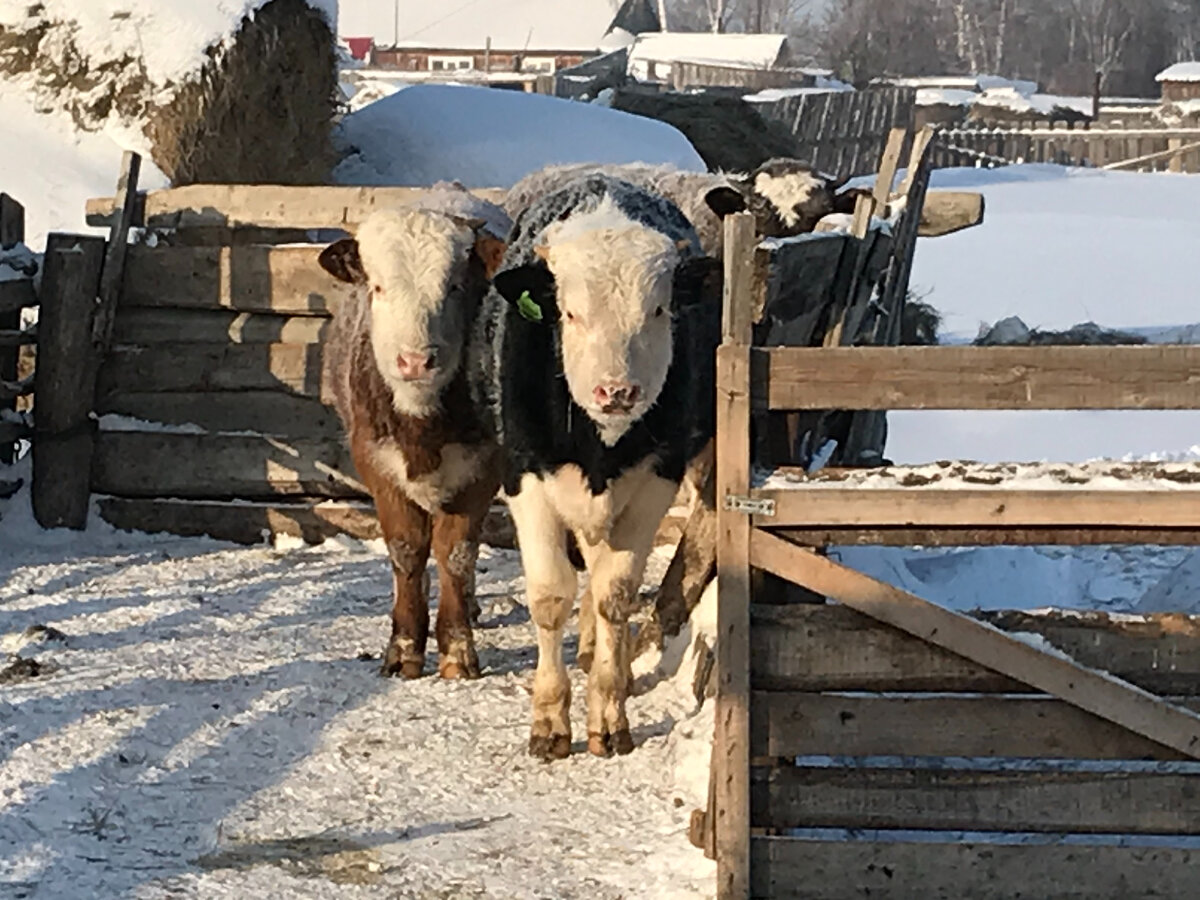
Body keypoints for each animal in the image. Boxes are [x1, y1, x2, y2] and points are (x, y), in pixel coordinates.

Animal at [319, 204, 506, 681]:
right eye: (378, 287)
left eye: (455, 286)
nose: (416, 360)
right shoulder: (376, 463)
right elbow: (406, 551)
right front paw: (404, 647)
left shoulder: (483, 467)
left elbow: (457, 553)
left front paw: (457, 649)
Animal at [472, 176, 720, 763]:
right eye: (570, 313)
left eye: (659, 310)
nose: (617, 391)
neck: (598, 445)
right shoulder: (524, 475)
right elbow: (549, 597)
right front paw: (549, 720)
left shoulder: (657, 478)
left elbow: (614, 594)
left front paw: (608, 713)